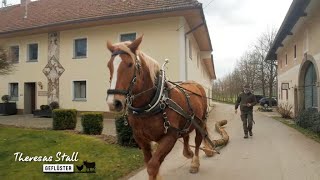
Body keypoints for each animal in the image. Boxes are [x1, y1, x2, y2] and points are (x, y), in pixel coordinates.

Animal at [105, 35, 228, 179]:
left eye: (130, 64)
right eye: (109, 65)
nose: (114, 102)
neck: (152, 104)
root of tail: (196, 84)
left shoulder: (169, 137)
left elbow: (152, 166)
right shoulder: (141, 139)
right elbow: (150, 162)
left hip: (200, 121)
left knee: (198, 141)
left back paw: (195, 162)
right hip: (187, 120)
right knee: (186, 135)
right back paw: (188, 152)